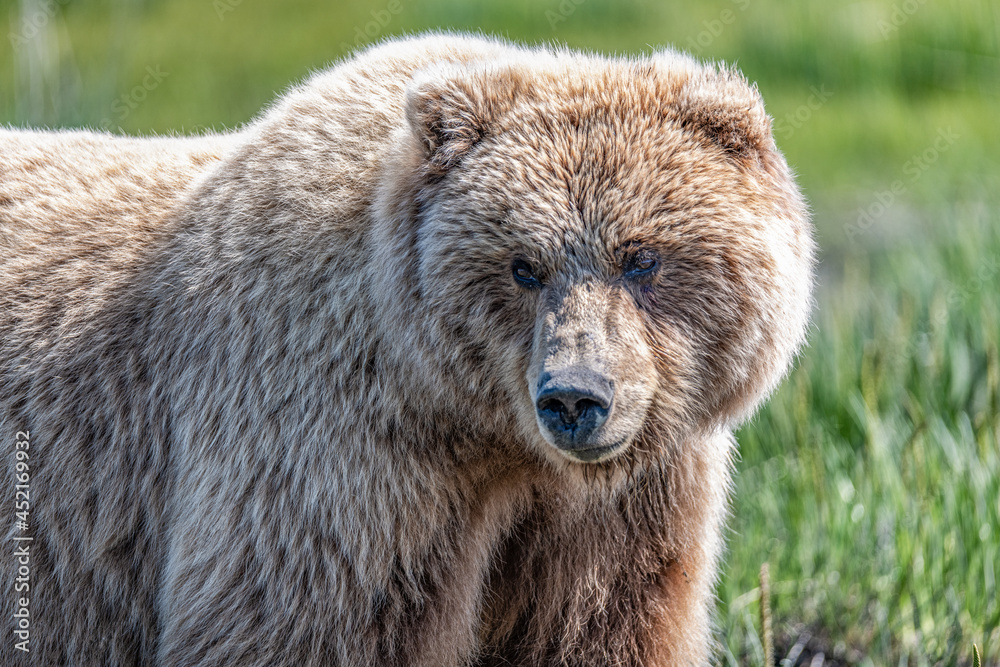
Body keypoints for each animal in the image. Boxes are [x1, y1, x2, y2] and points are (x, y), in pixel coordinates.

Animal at [0, 33, 814, 666]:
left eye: (640, 257)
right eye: (524, 265)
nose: (575, 397)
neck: (489, 436)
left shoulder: (622, 509)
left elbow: (600, 625)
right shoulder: (338, 460)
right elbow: (302, 624)